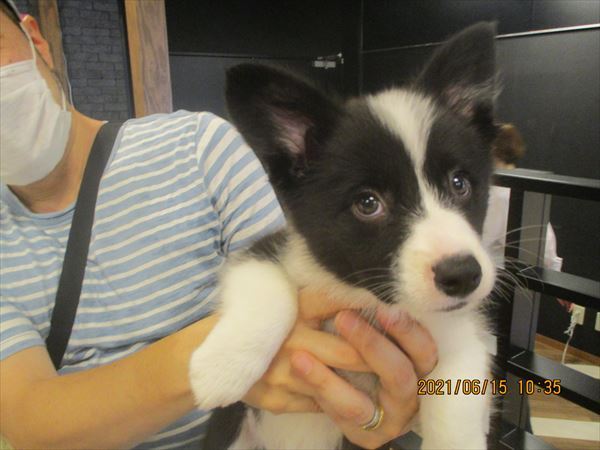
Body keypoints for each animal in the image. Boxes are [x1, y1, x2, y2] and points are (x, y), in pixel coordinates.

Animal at [189, 22, 499, 450]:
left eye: (460, 183)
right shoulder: (266, 249)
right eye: (368, 203)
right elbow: (268, 285)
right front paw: (222, 367)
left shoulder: (460, 335)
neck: (364, 299)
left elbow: (458, 395)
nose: (463, 275)